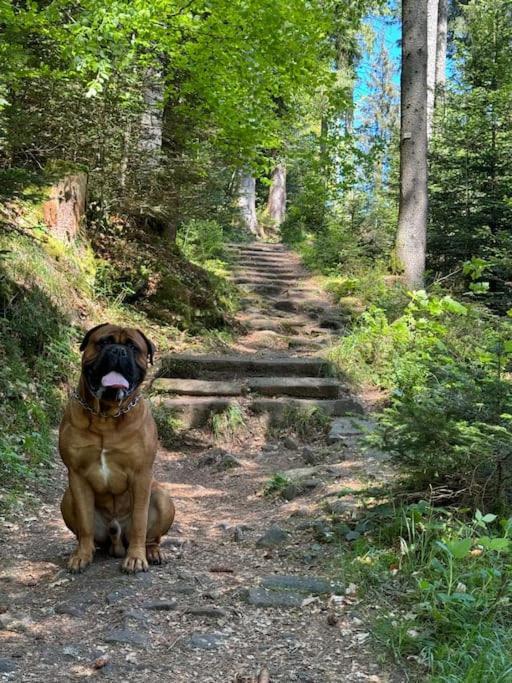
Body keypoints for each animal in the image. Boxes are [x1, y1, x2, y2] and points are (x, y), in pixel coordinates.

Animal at [58, 324, 174, 576]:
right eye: (103, 342)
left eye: (133, 347)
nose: (118, 351)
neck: (106, 416)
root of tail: (116, 539)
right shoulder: (77, 474)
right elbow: (84, 523)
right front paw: (81, 556)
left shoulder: (141, 475)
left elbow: (140, 521)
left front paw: (136, 559)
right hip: (67, 499)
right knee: (89, 534)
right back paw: (89, 549)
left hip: (162, 497)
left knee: (151, 536)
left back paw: (152, 552)